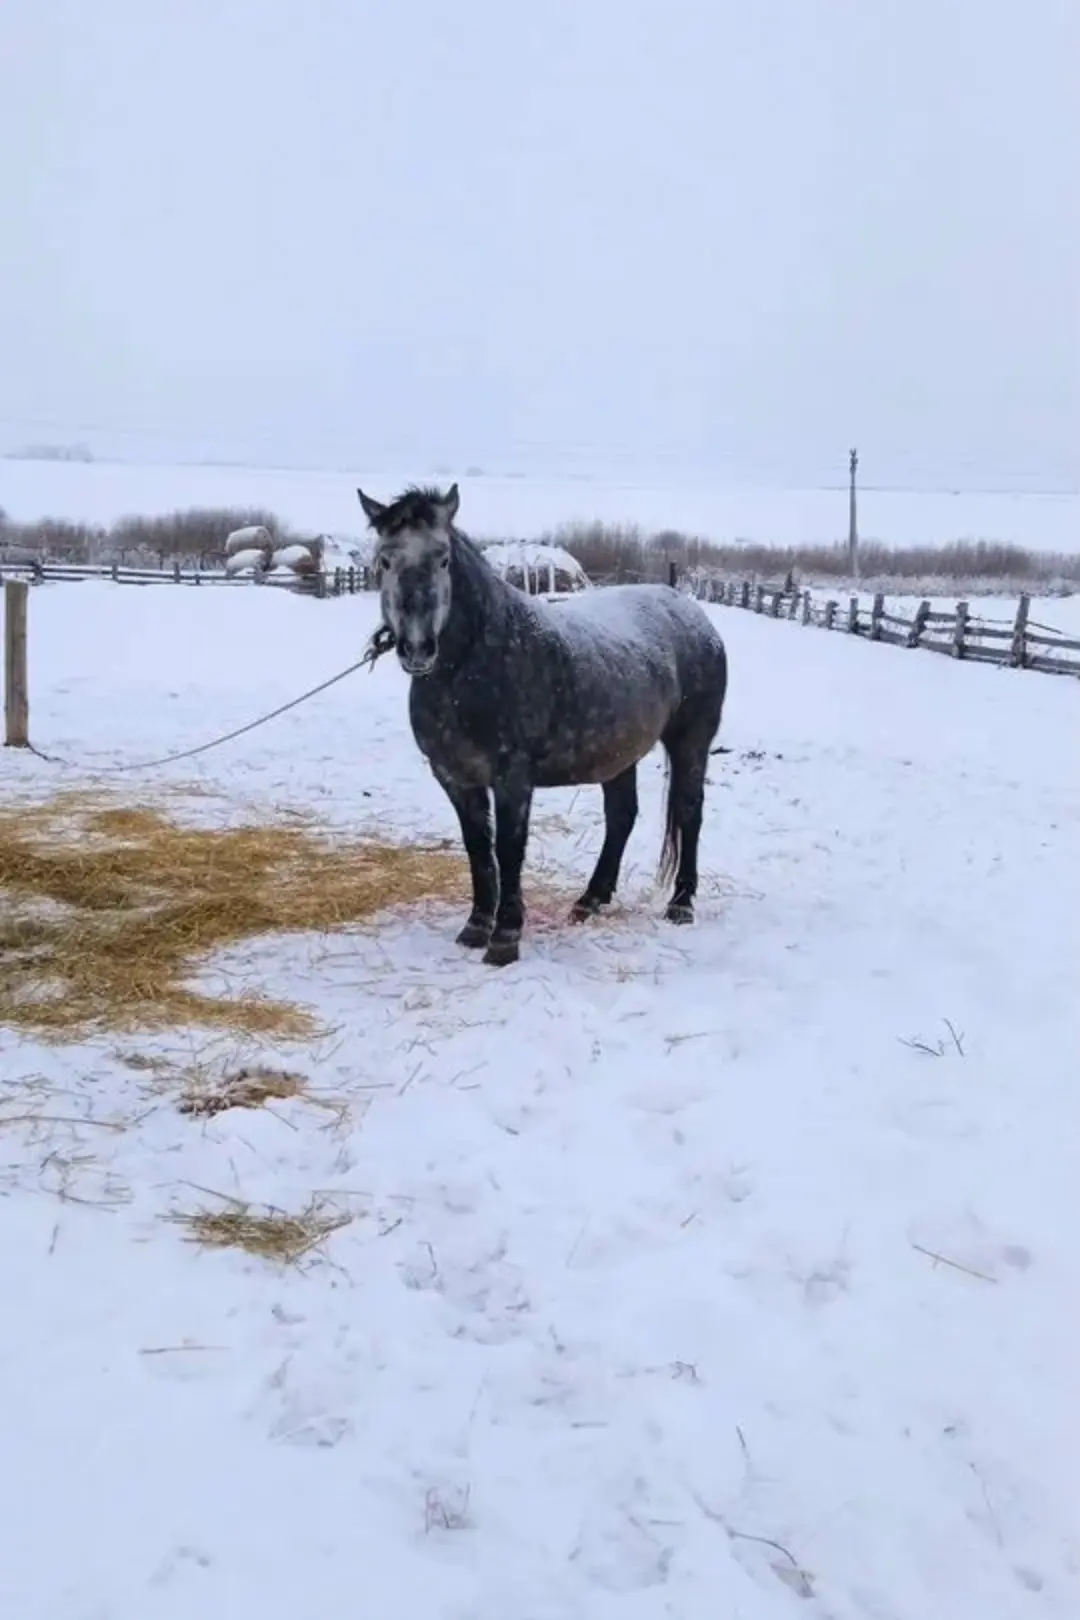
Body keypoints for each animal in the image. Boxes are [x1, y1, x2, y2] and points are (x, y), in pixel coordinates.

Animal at [358, 483, 729, 967]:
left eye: (443, 558)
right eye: (384, 560)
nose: (417, 649)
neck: (473, 664)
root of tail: (692, 612)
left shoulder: (513, 779)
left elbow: (509, 850)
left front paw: (505, 938)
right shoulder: (456, 778)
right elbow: (479, 849)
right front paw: (476, 926)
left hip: (691, 743)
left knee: (688, 811)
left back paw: (681, 904)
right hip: (618, 753)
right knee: (621, 817)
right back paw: (591, 900)